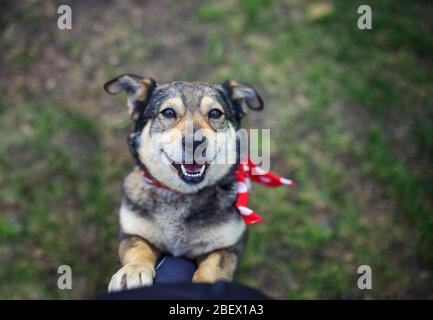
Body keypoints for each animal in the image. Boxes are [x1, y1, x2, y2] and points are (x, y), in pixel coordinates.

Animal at [104, 74, 264, 290]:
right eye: (168, 112)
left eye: (215, 113)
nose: (194, 142)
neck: (182, 195)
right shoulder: (131, 232)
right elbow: (138, 248)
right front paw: (133, 271)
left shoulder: (228, 247)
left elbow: (214, 266)